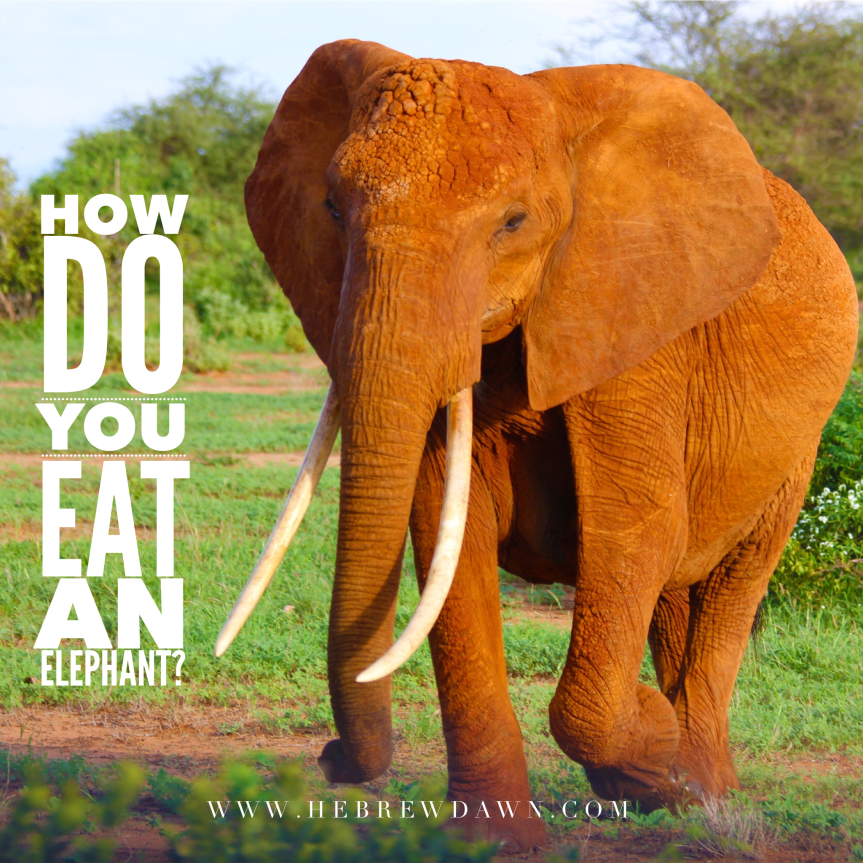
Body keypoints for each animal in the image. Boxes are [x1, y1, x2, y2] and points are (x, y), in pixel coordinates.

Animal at [215, 40, 859, 852]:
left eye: (513, 222)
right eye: (332, 209)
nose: (330, 758)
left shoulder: (634, 322)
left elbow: (636, 530)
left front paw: (650, 742)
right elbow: (446, 535)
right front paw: (496, 844)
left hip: (799, 445)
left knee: (731, 581)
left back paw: (701, 791)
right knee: (676, 591)